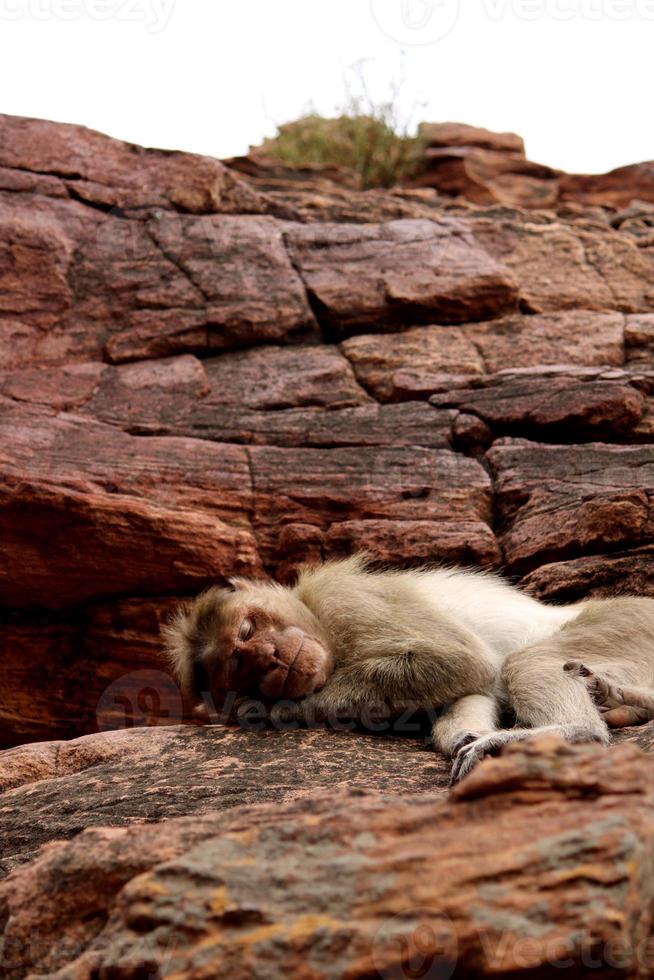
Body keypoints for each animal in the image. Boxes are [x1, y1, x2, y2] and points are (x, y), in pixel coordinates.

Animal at [163, 560, 654, 780]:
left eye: (248, 629)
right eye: (240, 665)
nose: (270, 657)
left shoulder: (346, 597)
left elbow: (460, 659)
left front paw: (276, 710)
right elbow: (471, 691)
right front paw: (466, 735)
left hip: (633, 621)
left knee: (528, 660)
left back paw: (577, 730)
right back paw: (620, 701)